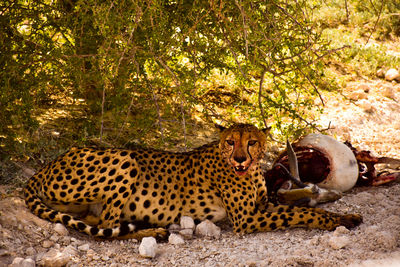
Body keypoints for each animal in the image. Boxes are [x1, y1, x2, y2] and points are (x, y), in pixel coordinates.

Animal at [25, 124, 362, 240]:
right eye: (230, 142)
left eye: (252, 142)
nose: (240, 159)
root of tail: (47, 165)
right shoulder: (246, 220)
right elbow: (302, 212)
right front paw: (336, 220)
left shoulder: (262, 206)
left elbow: (298, 205)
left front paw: (344, 213)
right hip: (126, 159)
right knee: (107, 227)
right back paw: (153, 231)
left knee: (99, 221)